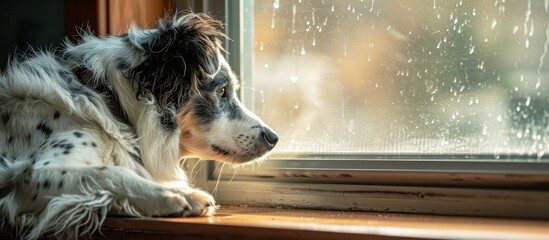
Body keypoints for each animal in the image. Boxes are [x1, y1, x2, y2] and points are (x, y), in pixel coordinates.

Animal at [0, 12, 276, 239]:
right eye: (221, 91)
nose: (274, 138)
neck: (106, 100)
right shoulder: (31, 175)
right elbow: (111, 172)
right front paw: (177, 195)